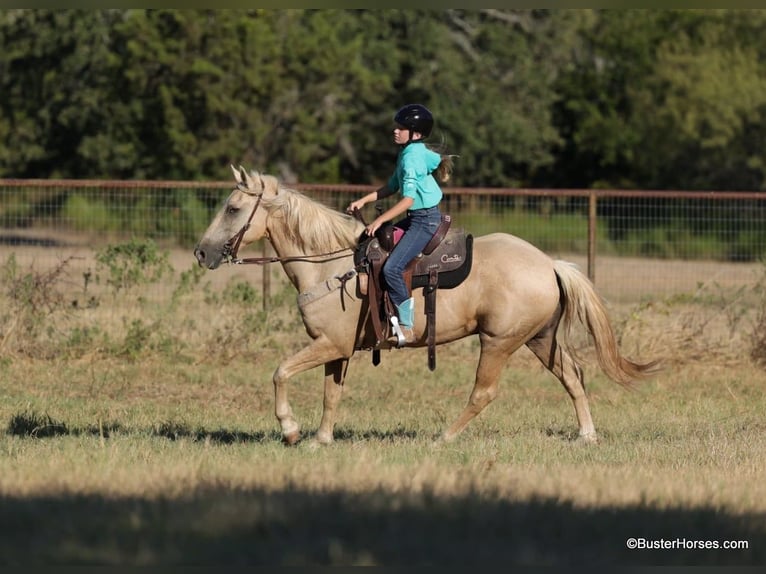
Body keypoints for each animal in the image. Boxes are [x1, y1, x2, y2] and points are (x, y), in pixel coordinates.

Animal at [194, 165, 658, 446]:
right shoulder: (338, 349)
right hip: (538, 339)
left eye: (233, 208)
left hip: (498, 342)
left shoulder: (329, 345)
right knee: (573, 377)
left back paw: (445, 438)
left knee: (484, 392)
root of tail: (549, 264)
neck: (332, 264)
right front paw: (321, 440)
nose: (201, 253)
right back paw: (586, 435)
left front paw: (290, 430)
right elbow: (331, 395)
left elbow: (280, 372)